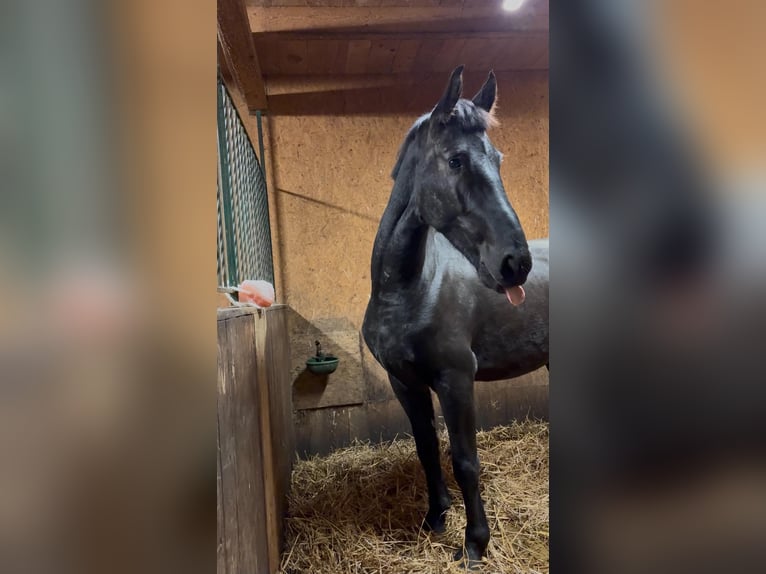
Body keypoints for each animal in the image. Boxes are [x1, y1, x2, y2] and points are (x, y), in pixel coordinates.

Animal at [362, 66, 549, 567]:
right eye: (455, 160)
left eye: (498, 159)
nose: (515, 264)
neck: (410, 290)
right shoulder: (405, 382)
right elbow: (427, 449)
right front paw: (435, 518)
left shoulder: (456, 379)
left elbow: (465, 461)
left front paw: (475, 544)